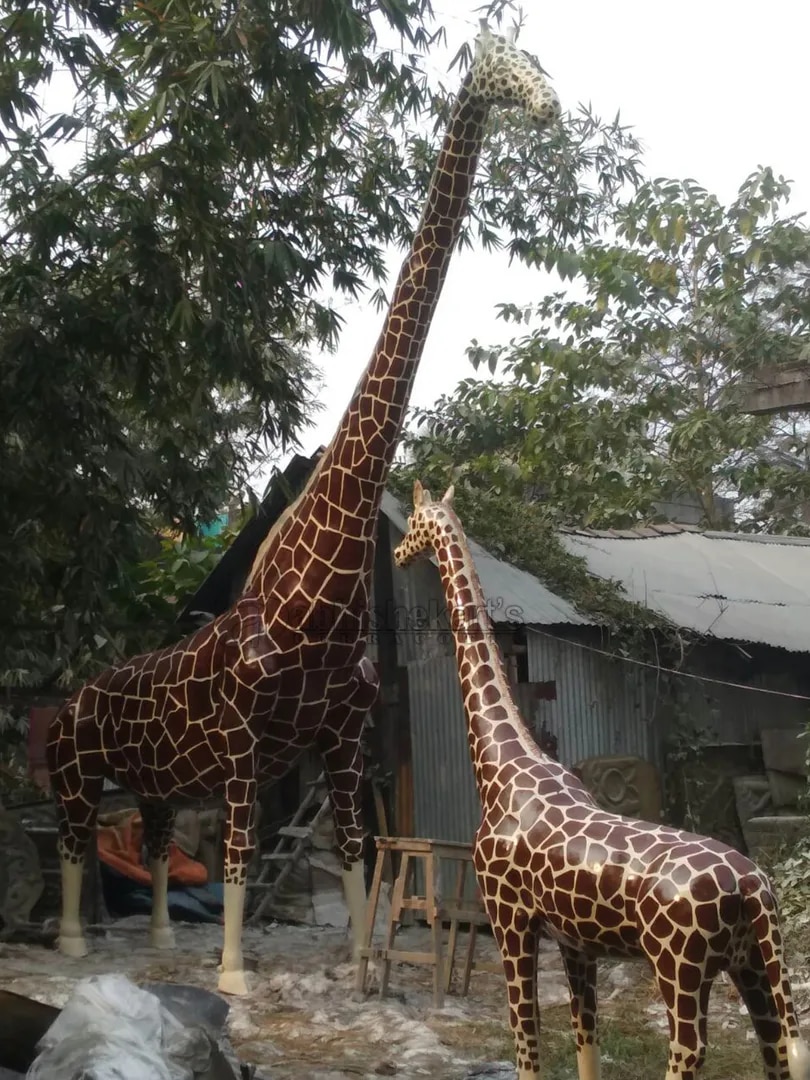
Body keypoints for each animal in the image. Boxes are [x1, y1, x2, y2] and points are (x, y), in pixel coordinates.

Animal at [46, 25, 561, 997]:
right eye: (503, 64)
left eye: (540, 63)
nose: (548, 107)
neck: (317, 591)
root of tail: (69, 698)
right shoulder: (247, 746)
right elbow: (240, 857)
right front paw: (235, 977)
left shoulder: (342, 740)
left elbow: (358, 851)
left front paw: (359, 963)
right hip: (74, 771)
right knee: (71, 846)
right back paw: (72, 945)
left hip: (155, 779)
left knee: (157, 841)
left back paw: (161, 939)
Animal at [393, 481, 810, 1080]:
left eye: (414, 525)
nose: (399, 554)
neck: (500, 767)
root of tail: (755, 888)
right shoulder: (576, 942)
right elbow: (584, 1037)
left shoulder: (509, 918)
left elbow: (526, 1041)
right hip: (753, 962)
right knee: (777, 1045)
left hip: (680, 966)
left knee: (688, 1049)